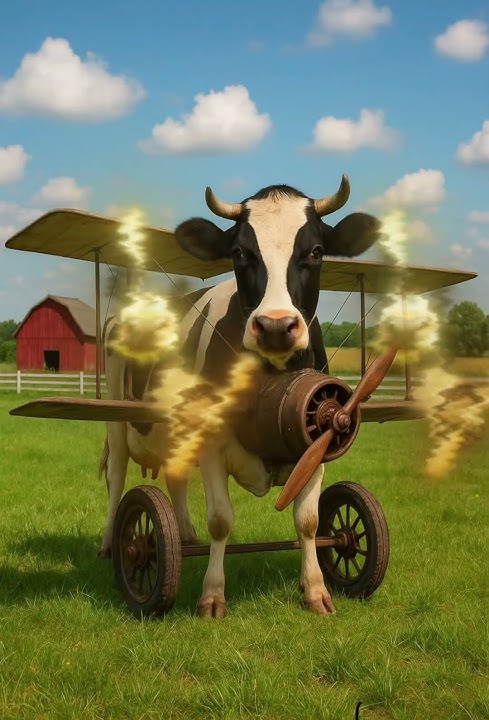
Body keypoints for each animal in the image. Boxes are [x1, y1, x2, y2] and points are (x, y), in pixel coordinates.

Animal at [99, 174, 381, 618]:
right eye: (239, 252)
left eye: (316, 251)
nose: (276, 326)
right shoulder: (212, 442)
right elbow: (221, 520)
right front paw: (212, 596)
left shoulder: (318, 443)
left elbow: (309, 521)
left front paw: (316, 591)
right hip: (116, 419)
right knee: (116, 477)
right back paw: (112, 542)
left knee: (176, 476)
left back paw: (185, 534)